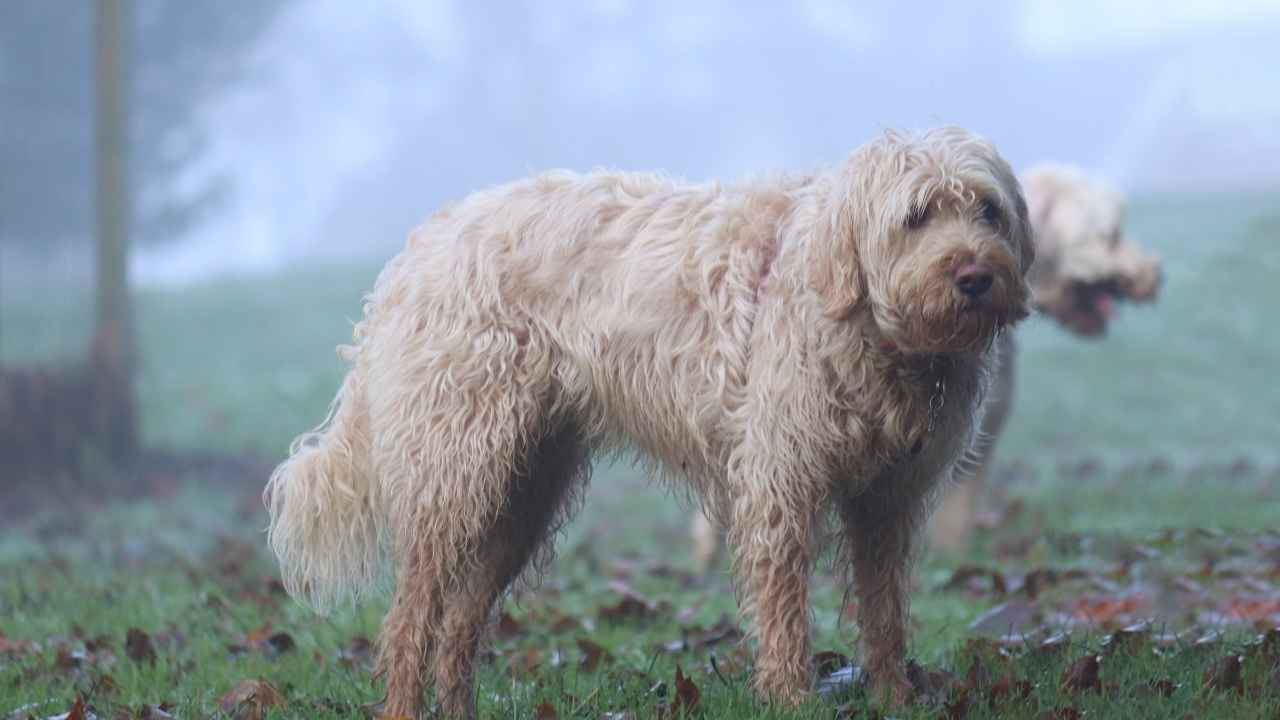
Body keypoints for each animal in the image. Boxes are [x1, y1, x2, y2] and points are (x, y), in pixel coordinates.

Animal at [264, 126, 1034, 712]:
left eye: (987, 211)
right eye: (918, 215)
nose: (975, 277)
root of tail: (421, 246)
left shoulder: (887, 503)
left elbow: (884, 614)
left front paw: (895, 697)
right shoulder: (781, 487)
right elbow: (786, 616)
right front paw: (791, 701)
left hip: (523, 493)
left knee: (457, 626)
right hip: (453, 474)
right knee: (408, 622)